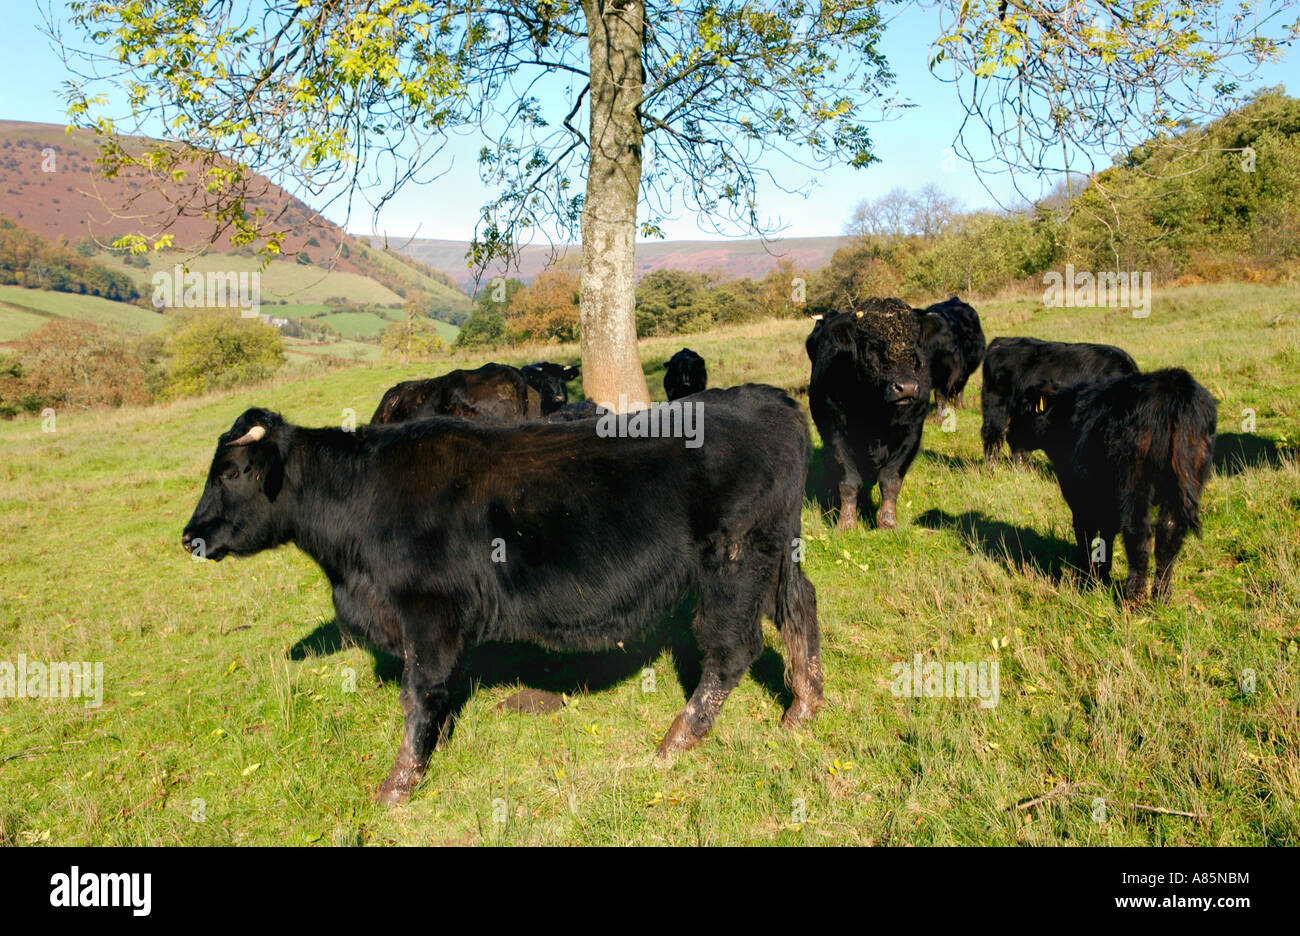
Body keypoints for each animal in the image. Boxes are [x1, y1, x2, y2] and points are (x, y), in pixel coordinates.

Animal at [182, 384, 821, 800]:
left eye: (231, 472)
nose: (189, 536)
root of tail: (770, 400)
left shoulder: (426, 610)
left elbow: (418, 694)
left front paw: (399, 782)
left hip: (733, 562)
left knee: (731, 650)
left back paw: (676, 741)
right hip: (775, 558)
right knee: (801, 610)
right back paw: (803, 708)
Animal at [806, 300, 930, 533]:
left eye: (914, 346)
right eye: (872, 347)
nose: (907, 387)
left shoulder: (912, 432)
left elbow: (890, 479)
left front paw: (888, 521)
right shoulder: (835, 433)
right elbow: (848, 480)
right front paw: (846, 523)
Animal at [982, 338, 1138, 465]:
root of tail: (1000, 342)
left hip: (1021, 414)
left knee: (1015, 438)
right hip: (995, 405)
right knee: (993, 435)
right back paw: (991, 470)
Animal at [1008, 369, 1211, 603]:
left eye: (1023, 407)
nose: (1009, 434)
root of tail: (1174, 383)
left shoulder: (1079, 494)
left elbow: (1085, 532)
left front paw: (1085, 578)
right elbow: (1107, 532)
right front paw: (1102, 575)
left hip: (1135, 483)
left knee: (1138, 534)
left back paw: (1133, 600)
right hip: (1183, 483)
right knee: (1169, 532)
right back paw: (1160, 597)